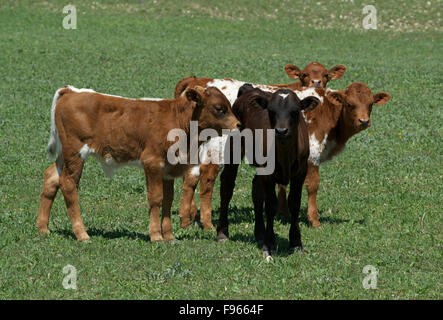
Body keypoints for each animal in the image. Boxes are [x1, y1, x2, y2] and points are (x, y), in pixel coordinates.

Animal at [36, 86, 241, 241]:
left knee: (51, 177)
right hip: (74, 154)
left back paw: (43, 228)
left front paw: (169, 236)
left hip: (63, 156)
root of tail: (72, 91)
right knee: (68, 185)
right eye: (219, 108)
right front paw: (156, 236)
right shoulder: (152, 162)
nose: (239, 125)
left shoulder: (168, 169)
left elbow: (168, 200)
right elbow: (156, 198)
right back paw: (81, 233)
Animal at [218, 84, 320, 256]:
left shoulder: (300, 173)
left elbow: (294, 203)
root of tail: (249, 89)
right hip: (233, 149)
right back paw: (222, 231)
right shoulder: (268, 173)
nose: (281, 131)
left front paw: (295, 242)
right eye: (271, 111)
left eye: (295, 111)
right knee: (227, 186)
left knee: (256, 191)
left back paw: (259, 232)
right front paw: (269, 243)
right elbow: (271, 205)